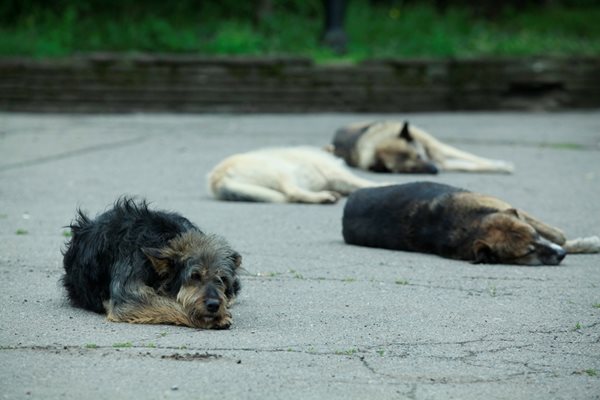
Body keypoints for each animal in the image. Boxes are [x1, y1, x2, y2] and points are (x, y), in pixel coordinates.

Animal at [342, 182, 600, 266]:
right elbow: (560, 238)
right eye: (528, 252)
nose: (561, 255)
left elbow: (559, 235)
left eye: (535, 235)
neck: (470, 224)